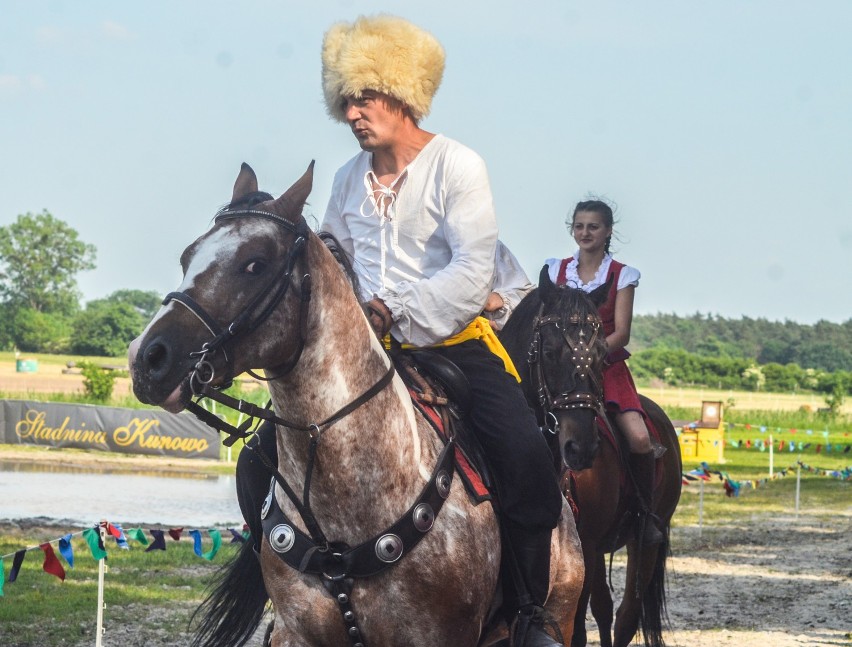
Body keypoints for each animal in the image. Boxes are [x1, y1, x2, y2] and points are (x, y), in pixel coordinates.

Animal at [502, 268, 684, 647]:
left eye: (601, 354)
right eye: (550, 352)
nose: (582, 448)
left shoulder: (582, 546)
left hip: (643, 541)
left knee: (626, 615)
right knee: (603, 609)